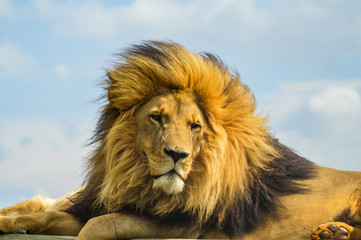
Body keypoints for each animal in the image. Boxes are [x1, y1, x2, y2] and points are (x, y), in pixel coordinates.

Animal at [0, 41, 360, 240]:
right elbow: (46, 214)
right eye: (157, 118)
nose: (177, 155)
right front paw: (15, 223)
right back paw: (333, 232)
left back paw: (336, 232)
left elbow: (97, 226)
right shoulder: (92, 204)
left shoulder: (181, 226)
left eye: (195, 126)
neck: (135, 176)